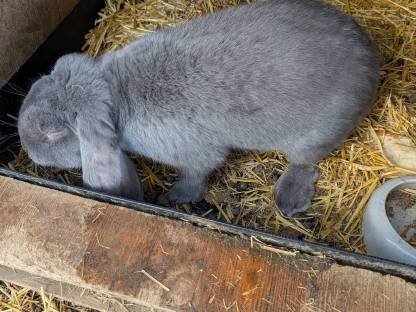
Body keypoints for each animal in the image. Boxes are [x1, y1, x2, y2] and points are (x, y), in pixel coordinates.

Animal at [17, 0, 378, 216]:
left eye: (52, 133)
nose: (29, 152)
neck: (115, 94)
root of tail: (373, 60)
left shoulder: (193, 154)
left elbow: (197, 171)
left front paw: (177, 196)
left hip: (313, 136)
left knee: (305, 162)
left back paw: (289, 200)